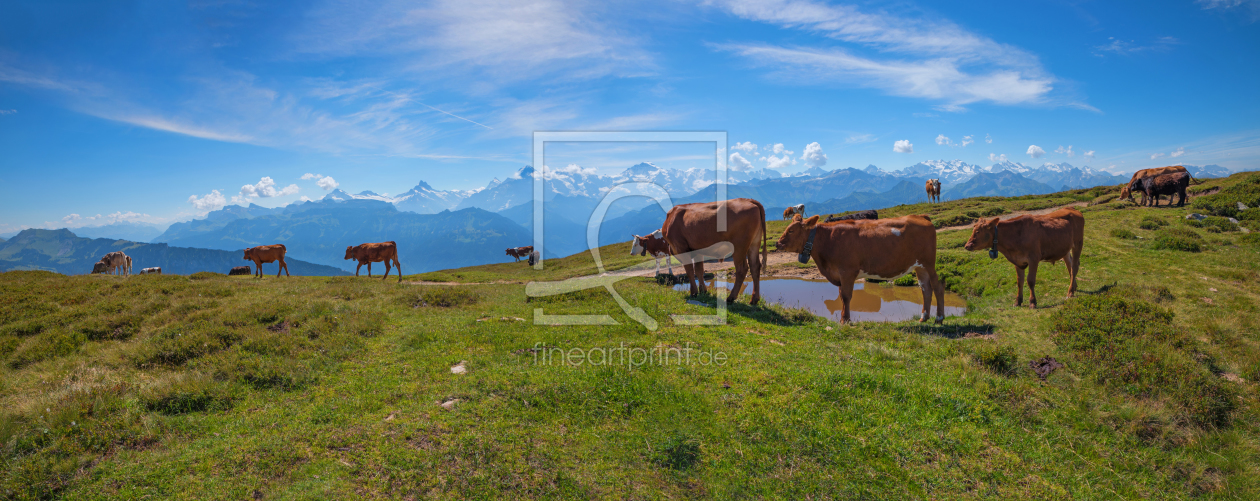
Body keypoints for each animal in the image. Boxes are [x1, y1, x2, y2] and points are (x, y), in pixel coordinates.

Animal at [771, 212, 942, 322]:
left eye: (791, 230)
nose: (777, 243)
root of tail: (921, 217)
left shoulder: (847, 272)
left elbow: (847, 296)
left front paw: (845, 320)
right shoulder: (839, 275)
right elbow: (841, 296)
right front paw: (843, 317)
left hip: (929, 263)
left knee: (937, 286)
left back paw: (939, 318)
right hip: (919, 266)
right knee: (925, 288)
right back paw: (924, 317)